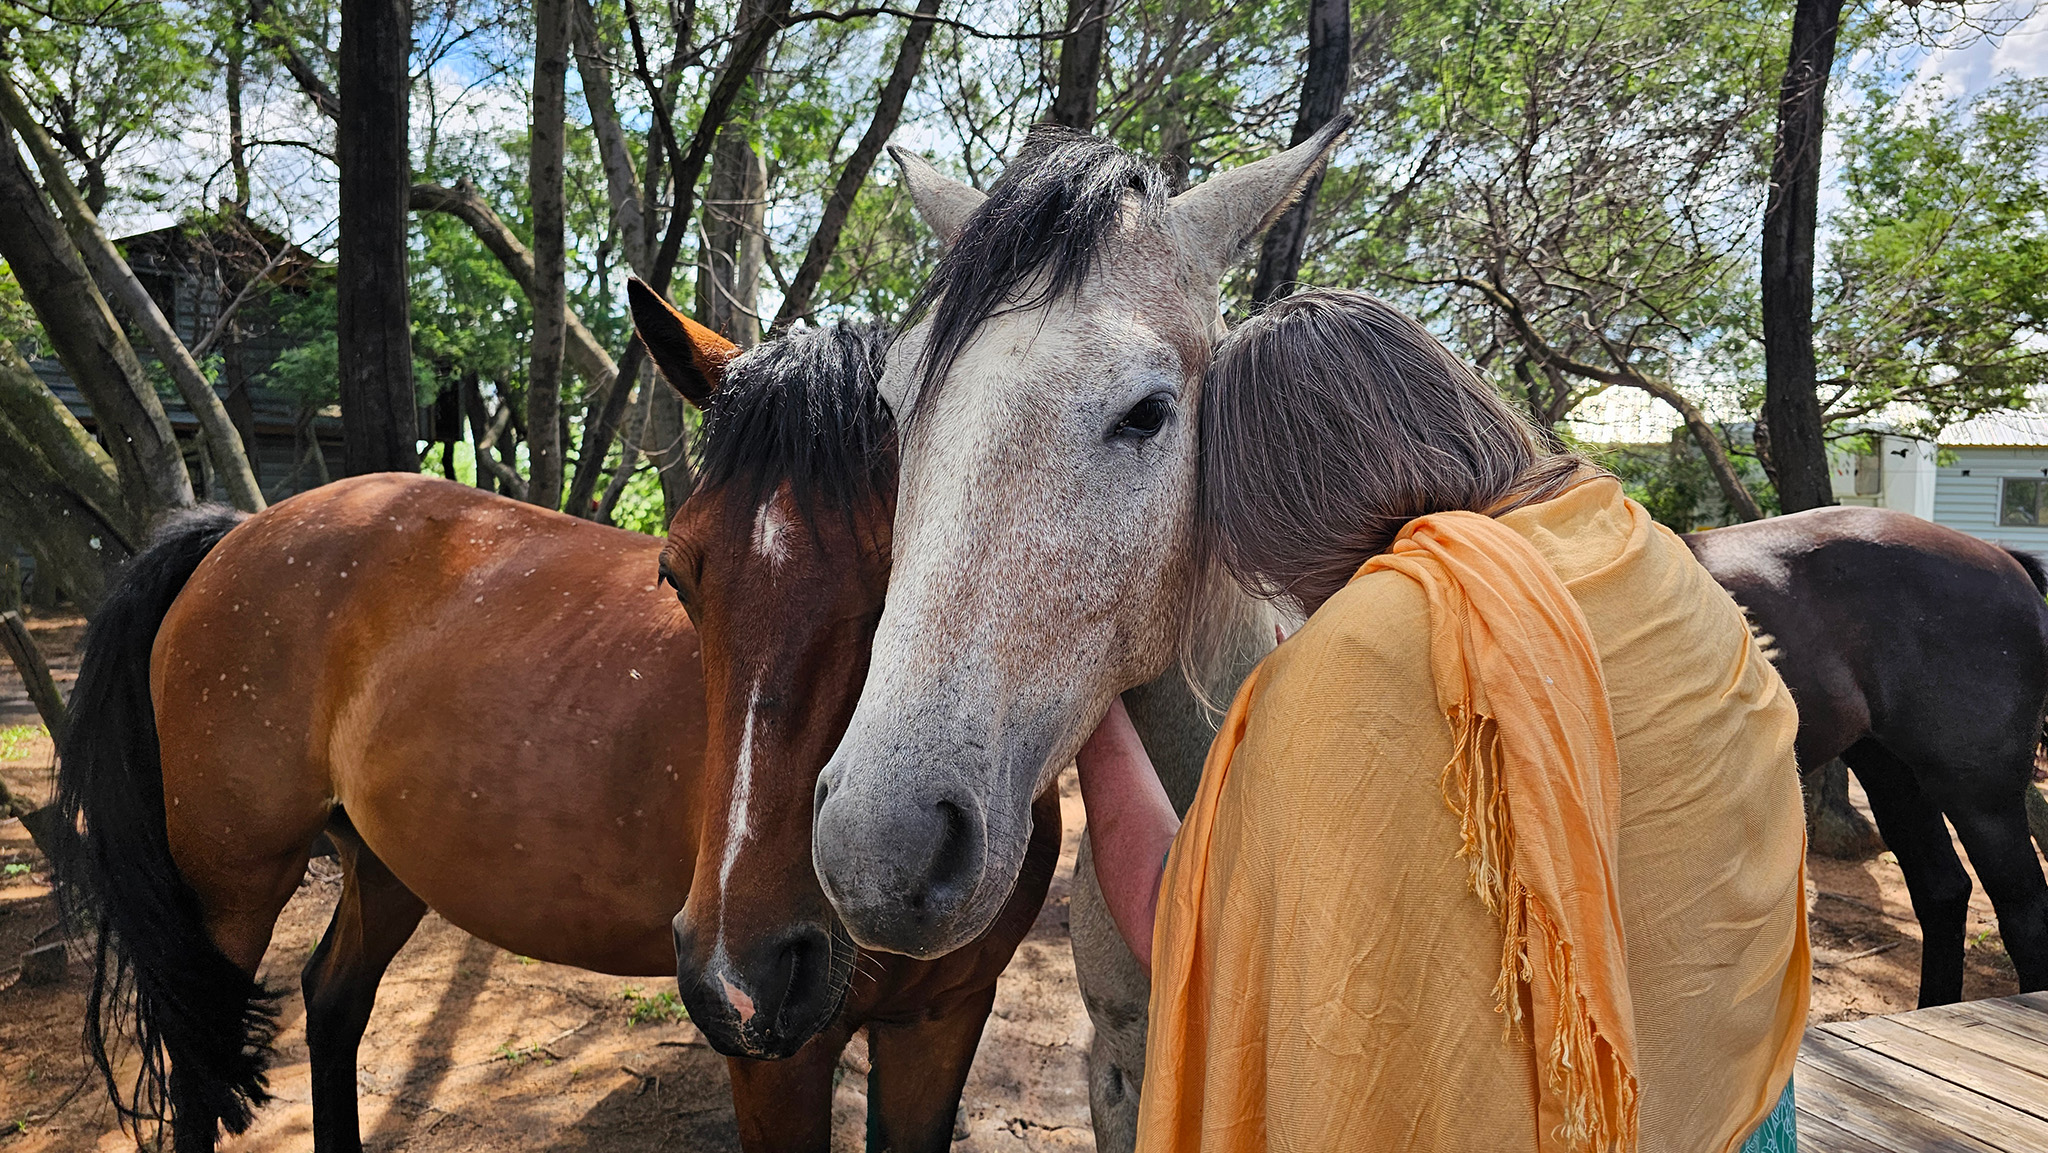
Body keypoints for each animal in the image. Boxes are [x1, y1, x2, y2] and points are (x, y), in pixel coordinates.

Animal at [51, 286, 1057, 1153]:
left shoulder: (942, 1022)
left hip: (385, 865)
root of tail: (234, 533)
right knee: (201, 1061)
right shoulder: (783, 1063)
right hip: (232, 885)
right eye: (679, 574)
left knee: (331, 1003)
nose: (749, 977)